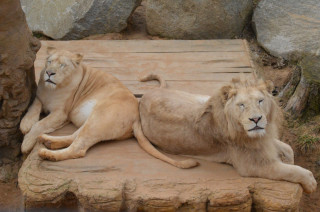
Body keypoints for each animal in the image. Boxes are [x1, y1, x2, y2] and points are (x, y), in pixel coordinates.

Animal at [20, 48, 198, 169]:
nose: (49, 73)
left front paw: (26, 143)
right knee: (74, 137)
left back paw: (47, 153)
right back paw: (47, 141)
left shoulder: (61, 113)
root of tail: (137, 117)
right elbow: (33, 109)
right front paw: (25, 124)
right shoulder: (39, 97)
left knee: (78, 148)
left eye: (62, 65)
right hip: (93, 119)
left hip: (100, 117)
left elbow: (41, 124)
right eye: (49, 62)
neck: (52, 89)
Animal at [136, 73, 318, 193]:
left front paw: (289, 158)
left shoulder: (264, 139)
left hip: (197, 98)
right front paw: (310, 183)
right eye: (241, 105)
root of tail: (146, 96)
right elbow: (292, 171)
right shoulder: (254, 165)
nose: (256, 119)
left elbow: (288, 148)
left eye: (260, 101)